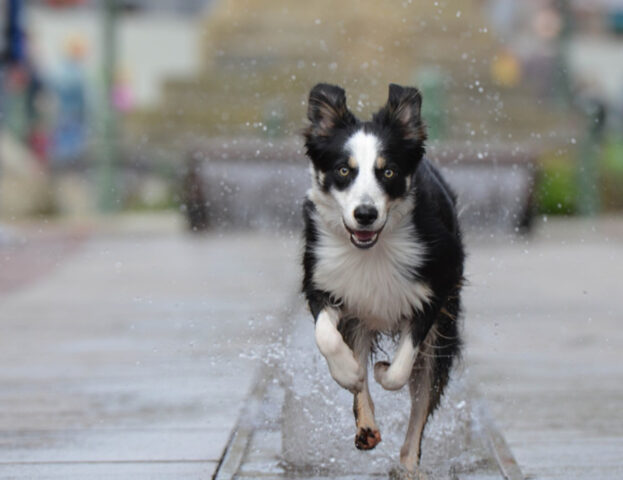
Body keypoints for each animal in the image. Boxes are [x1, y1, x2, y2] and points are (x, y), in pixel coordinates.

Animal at [300, 83, 466, 476]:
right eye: (343, 170)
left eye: (388, 172)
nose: (365, 214)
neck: (369, 250)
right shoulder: (322, 278)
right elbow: (327, 337)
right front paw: (348, 372)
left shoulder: (434, 291)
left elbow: (401, 369)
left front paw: (382, 370)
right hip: (360, 318)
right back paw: (366, 425)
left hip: (445, 330)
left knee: (421, 402)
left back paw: (408, 464)